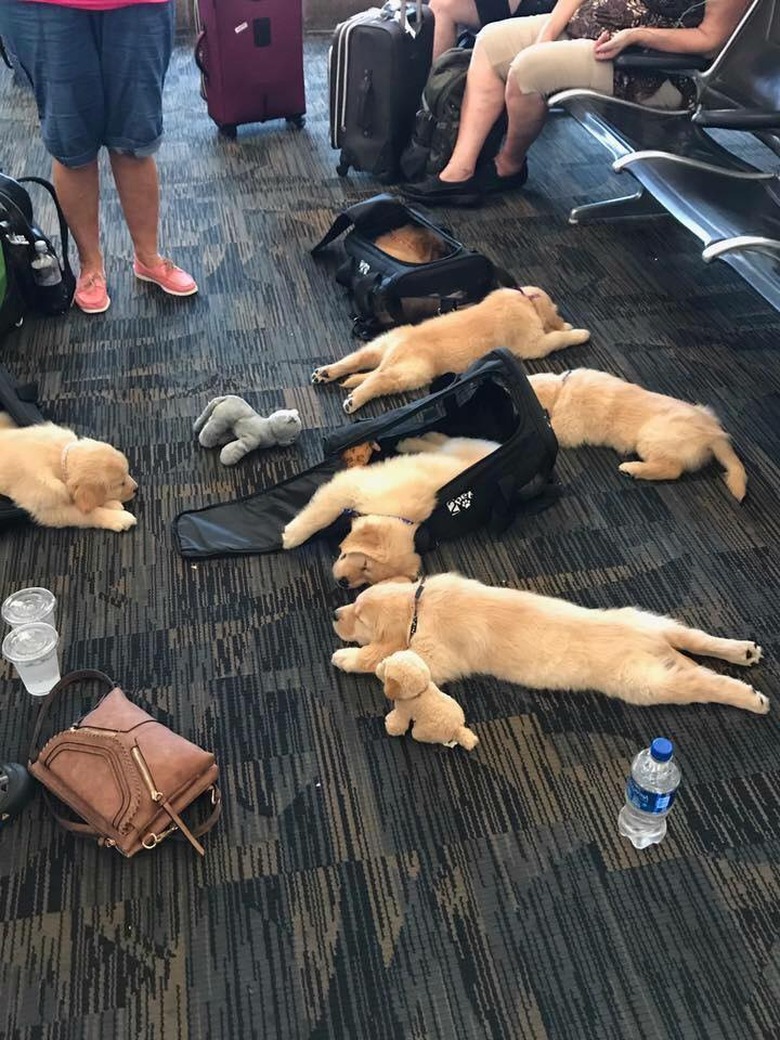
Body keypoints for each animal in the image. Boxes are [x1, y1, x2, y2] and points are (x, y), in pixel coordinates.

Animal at [0, 411, 137, 532]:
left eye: (127, 473)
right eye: (121, 484)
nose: (137, 488)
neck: (59, 458)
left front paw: (112, 504)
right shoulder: (49, 509)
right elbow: (86, 513)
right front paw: (119, 518)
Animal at [284, 434, 497, 590]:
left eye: (367, 580)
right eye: (365, 564)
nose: (343, 583)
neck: (396, 513)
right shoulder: (352, 486)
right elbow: (321, 512)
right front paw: (292, 536)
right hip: (457, 447)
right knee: (443, 442)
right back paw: (410, 441)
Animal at [307, 289, 590, 413]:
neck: (522, 298)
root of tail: (396, 349)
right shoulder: (533, 345)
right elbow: (556, 339)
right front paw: (576, 332)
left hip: (380, 344)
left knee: (355, 361)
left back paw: (325, 372)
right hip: (411, 372)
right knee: (378, 379)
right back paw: (355, 399)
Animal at [330, 578, 769, 715]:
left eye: (359, 616)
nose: (335, 613)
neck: (419, 604)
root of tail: (649, 641)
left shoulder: (435, 656)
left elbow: (389, 658)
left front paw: (348, 657)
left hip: (644, 683)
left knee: (702, 684)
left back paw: (751, 698)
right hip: (656, 622)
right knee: (698, 643)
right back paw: (742, 650)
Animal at [536, 368, 748, 501]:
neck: (562, 389)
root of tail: (716, 436)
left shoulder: (568, 428)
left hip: (651, 437)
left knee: (672, 469)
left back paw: (632, 468)